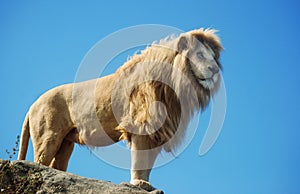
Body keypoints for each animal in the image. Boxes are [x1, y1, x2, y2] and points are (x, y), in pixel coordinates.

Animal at [17, 28, 223, 192]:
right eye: (200, 55)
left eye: (214, 58)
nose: (215, 70)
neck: (175, 86)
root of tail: (32, 105)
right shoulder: (141, 126)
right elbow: (140, 161)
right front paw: (139, 183)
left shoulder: (157, 132)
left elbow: (148, 164)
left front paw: (147, 185)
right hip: (48, 136)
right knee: (39, 162)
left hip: (66, 143)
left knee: (56, 165)